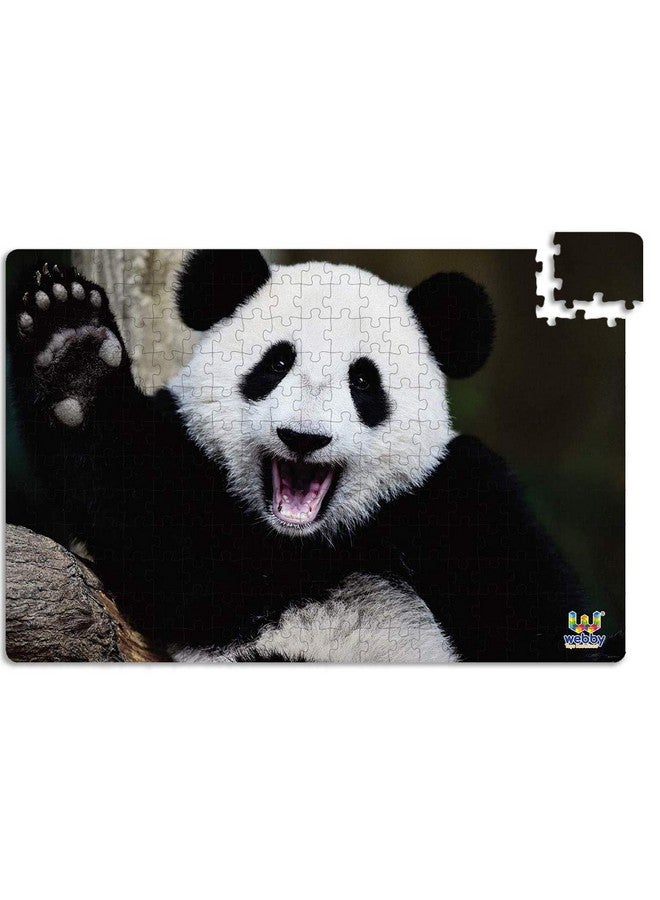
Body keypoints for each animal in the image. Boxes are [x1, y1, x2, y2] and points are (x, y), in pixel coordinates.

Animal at [11, 250, 592, 662]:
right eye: (276, 363)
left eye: (363, 381)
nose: (303, 438)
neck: (309, 543)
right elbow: (149, 512)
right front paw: (74, 355)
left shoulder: (457, 498)